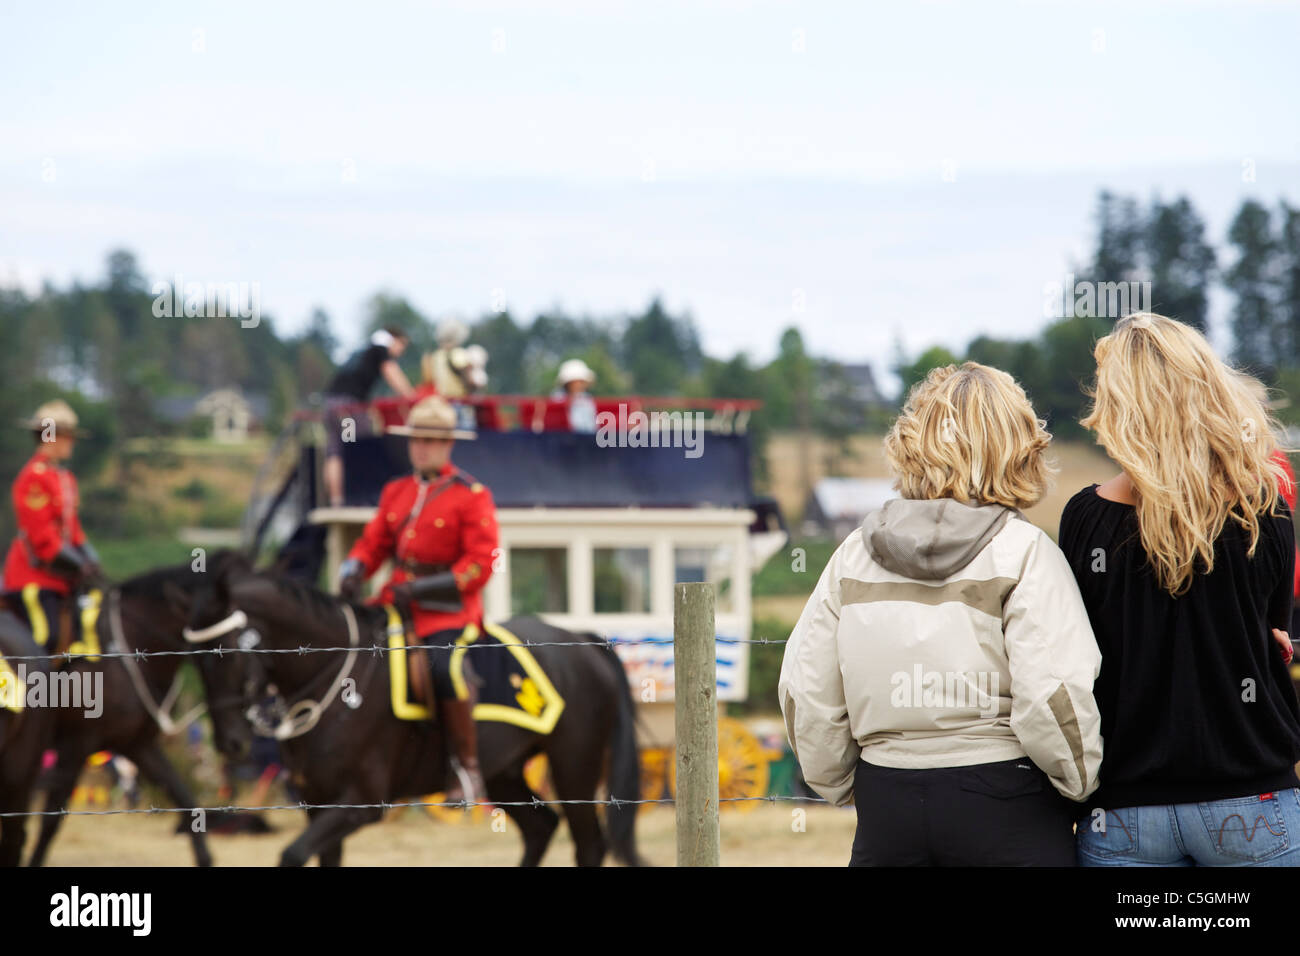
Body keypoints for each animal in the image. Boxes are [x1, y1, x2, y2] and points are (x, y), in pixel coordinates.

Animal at [19, 561, 253, 868]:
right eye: (224, 654)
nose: (236, 742)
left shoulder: (136, 744)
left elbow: (182, 795)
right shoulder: (75, 744)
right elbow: (51, 821)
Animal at [188, 548, 644, 868]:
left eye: (228, 652)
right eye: (194, 657)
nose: (229, 742)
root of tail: (583, 640)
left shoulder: (362, 802)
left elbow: (292, 854)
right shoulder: (318, 802)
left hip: (574, 767)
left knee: (589, 844)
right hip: (504, 772)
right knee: (541, 829)